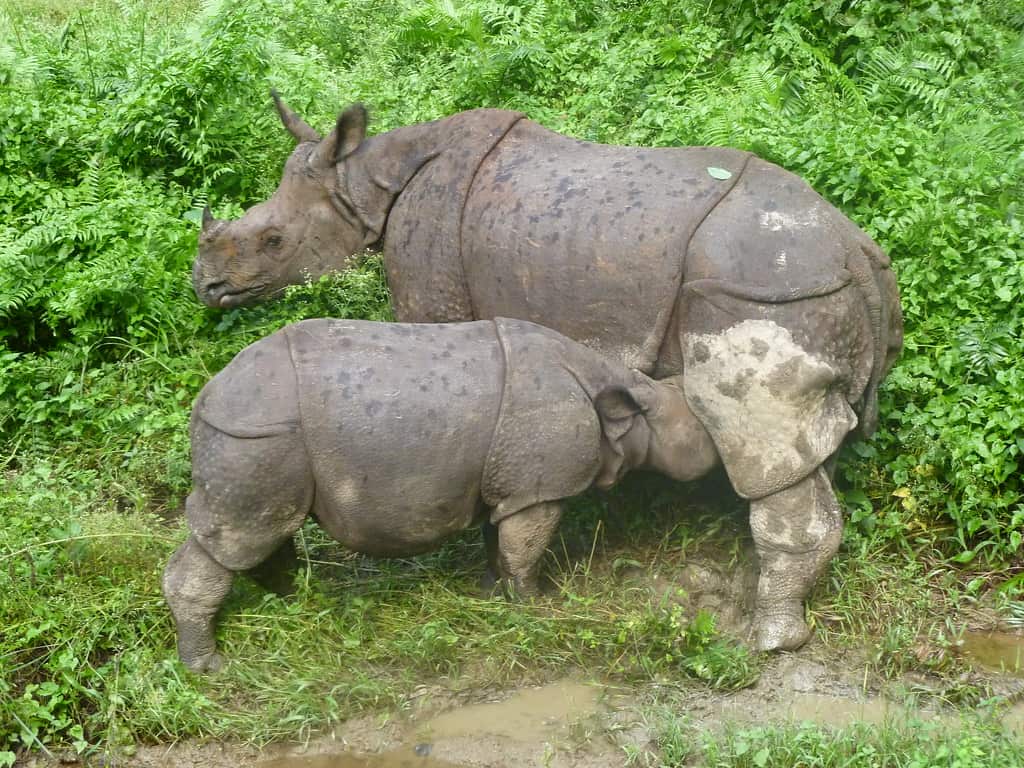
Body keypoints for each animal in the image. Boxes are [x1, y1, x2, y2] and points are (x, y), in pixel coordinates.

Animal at [162, 317, 717, 672]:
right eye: (701, 429)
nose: (722, 453)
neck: (623, 402)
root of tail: (207, 397)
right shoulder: (539, 487)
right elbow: (526, 549)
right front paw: (537, 606)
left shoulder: (511, 482)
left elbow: (501, 540)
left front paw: (493, 592)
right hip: (254, 435)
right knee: (242, 533)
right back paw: (209, 667)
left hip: (258, 436)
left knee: (267, 528)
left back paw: (296, 601)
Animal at [192, 96, 904, 652]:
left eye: (274, 241)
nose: (207, 288)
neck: (367, 178)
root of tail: (854, 251)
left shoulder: (431, 289)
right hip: (811, 293)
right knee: (811, 444)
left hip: (764, 288)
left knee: (758, 439)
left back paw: (767, 640)